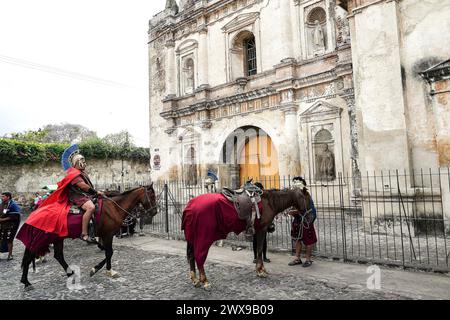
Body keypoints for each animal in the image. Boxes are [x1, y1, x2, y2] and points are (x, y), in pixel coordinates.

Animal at [19, 184, 158, 288]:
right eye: (152, 195)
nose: (155, 211)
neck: (113, 207)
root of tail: (36, 211)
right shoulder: (108, 235)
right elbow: (109, 252)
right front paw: (103, 270)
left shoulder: (105, 236)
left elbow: (107, 252)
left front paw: (100, 269)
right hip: (43, 238)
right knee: (30, 256)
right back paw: (26, 282)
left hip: (57, 238)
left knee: (58, 255)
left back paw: (70, 273)